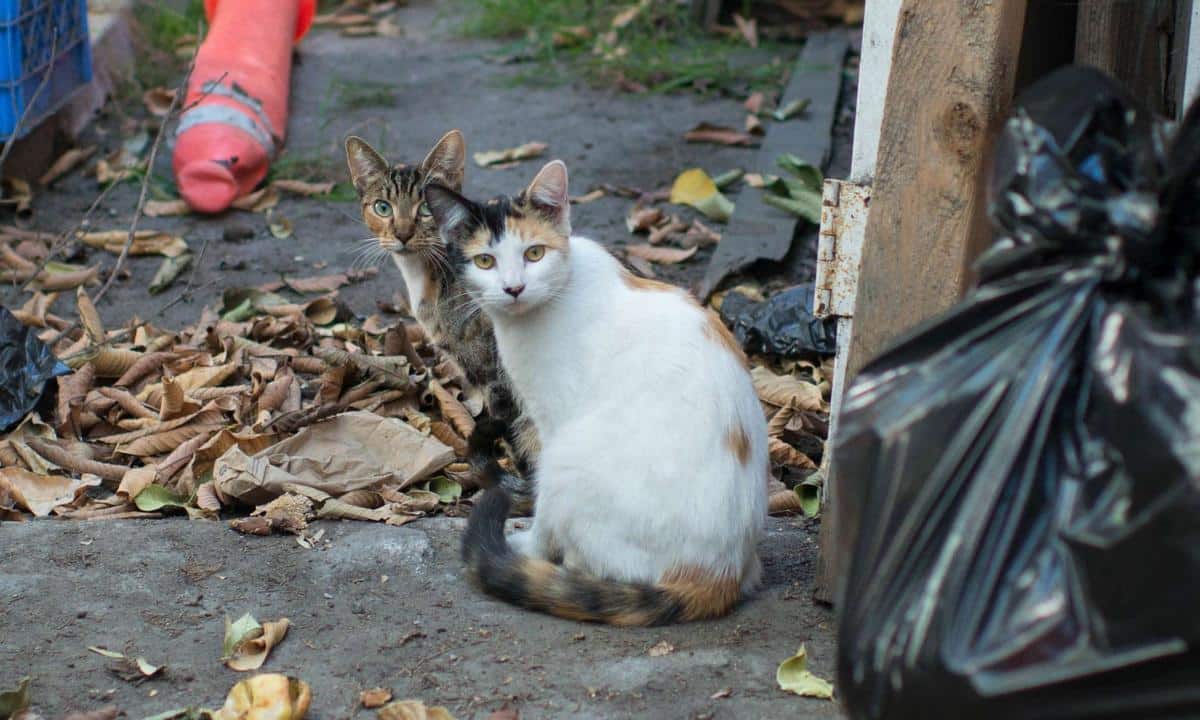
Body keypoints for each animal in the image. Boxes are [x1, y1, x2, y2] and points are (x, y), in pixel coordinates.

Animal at [429, 160, 768, 619]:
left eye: (534, 253)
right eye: (485, 261)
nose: (513, 288)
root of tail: (718, 576)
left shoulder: (550, 421)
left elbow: (542, 508)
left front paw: (530, 545)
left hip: (570, 456)